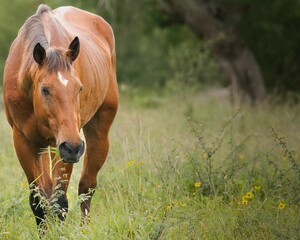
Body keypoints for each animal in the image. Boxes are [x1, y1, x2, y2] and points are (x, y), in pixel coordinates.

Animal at [3, 4, 118, 227]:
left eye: (79, 88)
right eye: (45, 89)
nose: (73, 147)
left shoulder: (65, 145)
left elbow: (59, 202)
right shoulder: (24, 141)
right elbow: (39, 201)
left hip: (96, 133)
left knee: (86, 186)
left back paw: (84, 229)